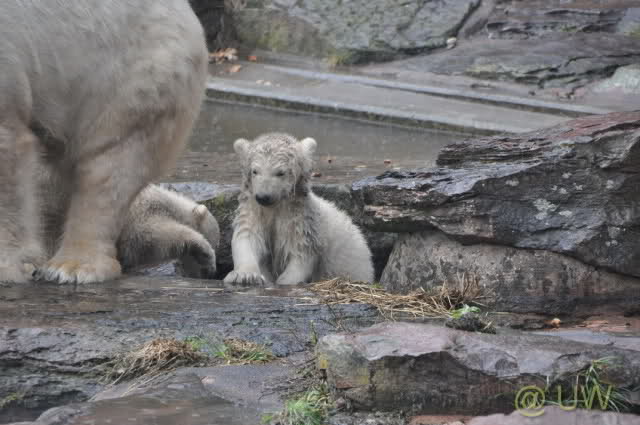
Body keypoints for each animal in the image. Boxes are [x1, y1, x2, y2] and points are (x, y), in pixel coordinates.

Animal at [223, 133, 374, 286]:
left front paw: (284, 281)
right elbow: (248, 238)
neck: (274, 208)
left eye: (280, 173)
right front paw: (245, 275)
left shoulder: (302, 222)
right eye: (255, 171)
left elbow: (301, 254)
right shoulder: (254, 211)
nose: (263, 197)